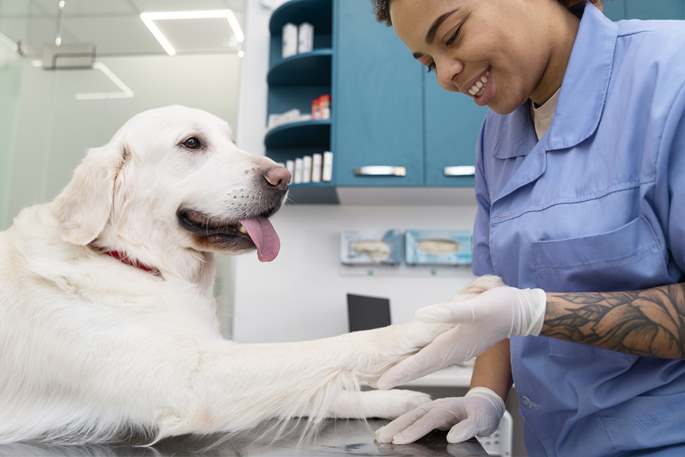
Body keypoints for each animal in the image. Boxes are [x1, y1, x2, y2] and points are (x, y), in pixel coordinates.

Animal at [0, 105, 448, 444]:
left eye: (232, 141)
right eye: (192, 143)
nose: (284, 178)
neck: (138, 262)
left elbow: (320, 388)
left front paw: (401, 401)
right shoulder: (195, 382)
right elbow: (332, 346)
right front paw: (425, 325)